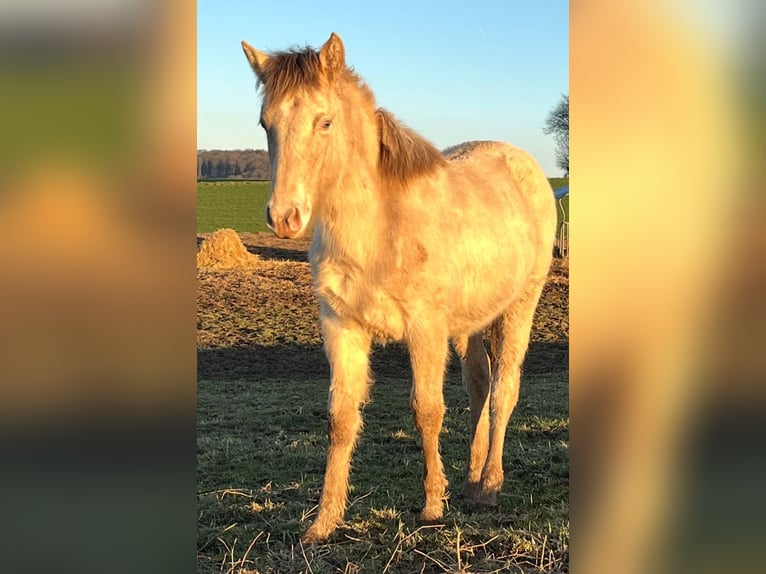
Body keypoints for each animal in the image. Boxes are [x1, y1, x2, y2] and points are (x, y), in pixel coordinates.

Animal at [242, 31, 560, 544]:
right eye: (265, 122)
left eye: (325, 121)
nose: (284, 217)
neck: (379, 228)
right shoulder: (342, 328)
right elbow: (341, 418)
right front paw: (323, 522)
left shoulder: (425, 329)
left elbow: (426, 410)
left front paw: (431, 505)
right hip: (470, 321)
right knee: (480, 384)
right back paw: (471, 481)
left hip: (520, 307)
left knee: (504, 389)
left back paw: (491, 485)